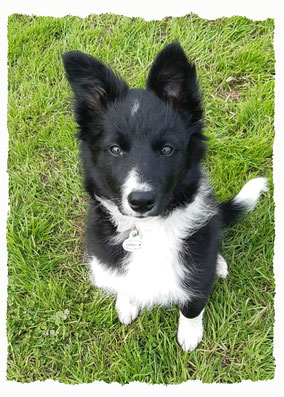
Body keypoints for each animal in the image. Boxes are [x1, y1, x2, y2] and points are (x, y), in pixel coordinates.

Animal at [61, 41, 266, 350]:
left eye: (167, 149)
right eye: (115, 150)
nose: (141, 201)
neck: (147, 231)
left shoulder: (195, 272)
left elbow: (193, 304)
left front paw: (189, 335)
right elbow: (125, 282)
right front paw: (127, 303)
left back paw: (218, 264)